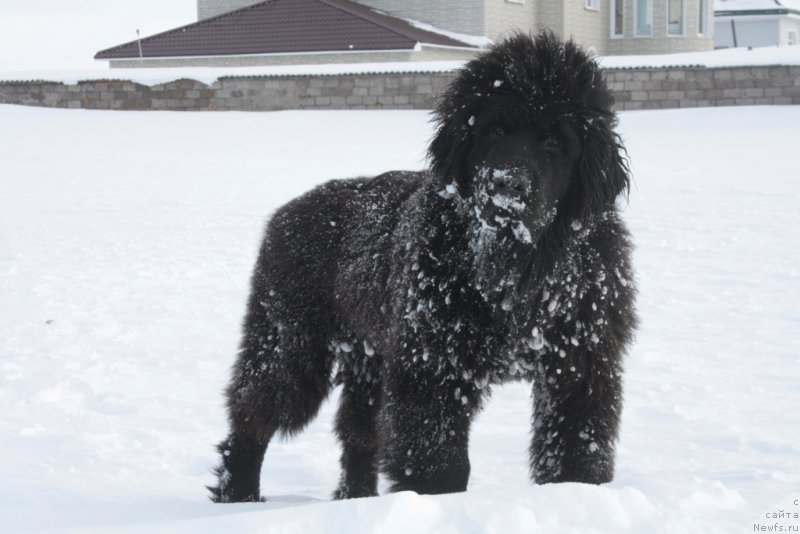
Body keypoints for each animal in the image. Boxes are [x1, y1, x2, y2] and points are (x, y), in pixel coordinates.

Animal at [209, 32, 636, 502]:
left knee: (358, 432)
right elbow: (438, 459)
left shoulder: (580, 362)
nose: (506, 185)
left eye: (554, 142)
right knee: (253, 413)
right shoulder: (434, 364)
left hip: (369, 358)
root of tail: (285, 213)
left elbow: (576, 443)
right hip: (292, 344)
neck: (511, 271)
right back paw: (239, 494)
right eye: (495, 129)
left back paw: (355, 498)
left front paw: (575, 493)